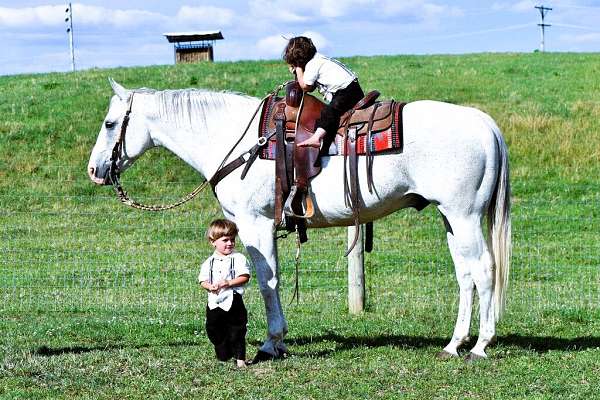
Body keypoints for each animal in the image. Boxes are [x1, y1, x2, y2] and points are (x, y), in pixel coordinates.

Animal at [88, 78, 510, 360]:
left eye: (109, 123)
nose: (94, 170)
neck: (238, 140)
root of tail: (485, 124)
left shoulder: (255, 224)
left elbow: (266, 281)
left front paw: (271, 344)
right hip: (451, 219)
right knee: (466, 274)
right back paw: (454, 344)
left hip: (464, 216)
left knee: (484, 269)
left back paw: (481, 345)